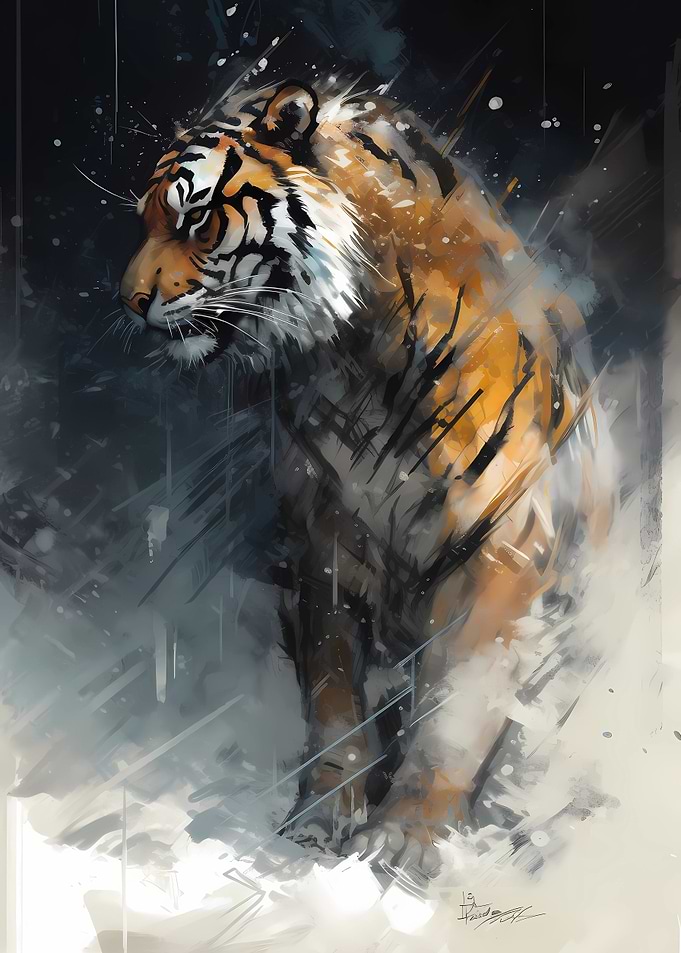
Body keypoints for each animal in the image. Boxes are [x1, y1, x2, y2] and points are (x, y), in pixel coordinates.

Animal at [120, 78, 614, 872]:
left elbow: (455, 709)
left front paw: (406, 836)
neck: (355, 353)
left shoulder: (499, 549)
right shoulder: (325, 538)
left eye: (194, 218)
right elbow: (331, 696)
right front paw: (323, 815)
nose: (128, 302)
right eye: (144, 219)